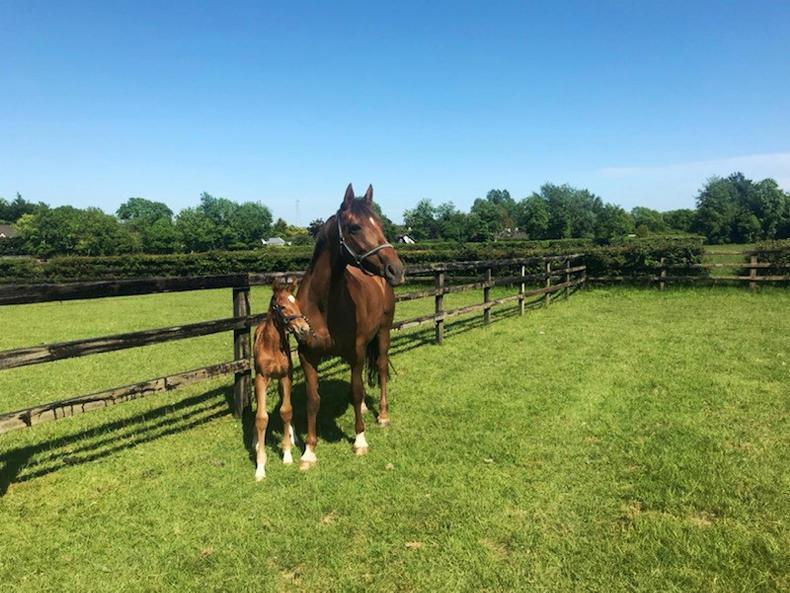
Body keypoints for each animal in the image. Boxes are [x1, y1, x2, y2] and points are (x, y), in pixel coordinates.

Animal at [252, 277, 311, 481]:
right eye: (283, 306)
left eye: (298, 305)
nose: (304, 329)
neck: (272, 346)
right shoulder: (261, 379)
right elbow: (261, 417)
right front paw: (260, 467)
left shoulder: (286, 376)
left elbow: (286, 411)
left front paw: (287, 455)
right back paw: (255, 441)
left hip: (280, 381)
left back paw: (293, 437)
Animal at [295, 183, 405, 470]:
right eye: (355, 227)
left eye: (380, 223)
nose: (397, 270)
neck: (323, 304)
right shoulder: (307, 356)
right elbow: (313, 400)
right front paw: (309, 452)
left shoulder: (356, 351)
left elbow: (356, 392)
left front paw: (360, 440)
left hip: (383, 334)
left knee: (381, 369)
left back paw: (382, 415)